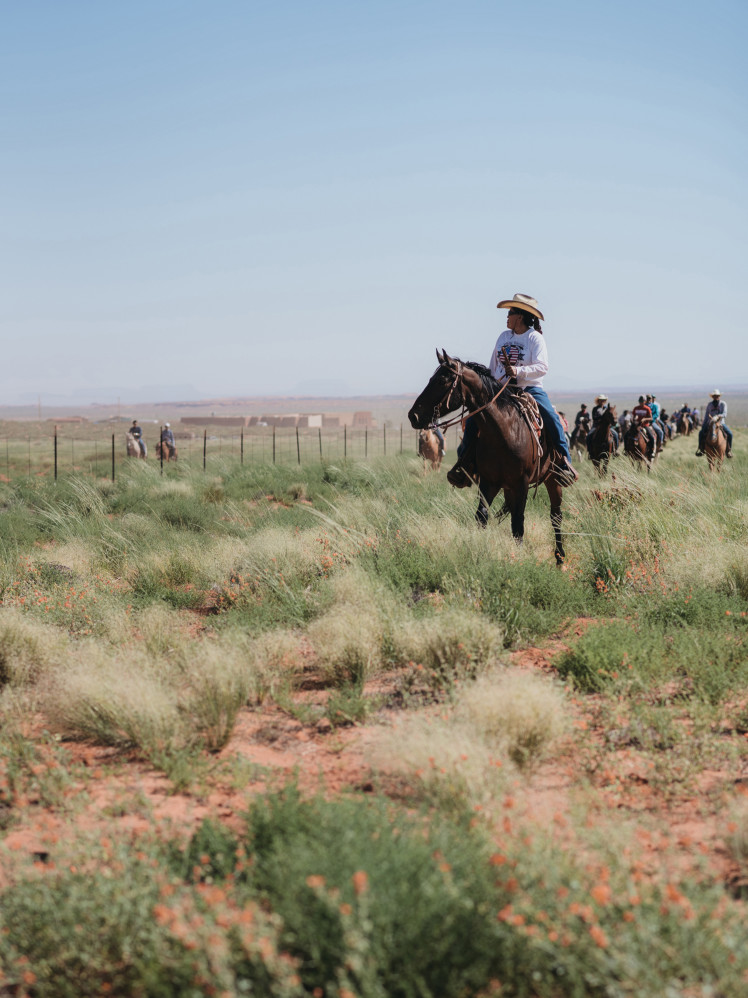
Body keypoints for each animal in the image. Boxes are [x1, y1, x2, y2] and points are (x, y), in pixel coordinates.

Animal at [410, 354, 568, 568]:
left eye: (442, 380)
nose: (413, 415)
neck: (504, 432)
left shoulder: (521, 483)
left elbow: (518, 523)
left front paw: (519, 559)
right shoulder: (488, 482)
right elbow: (482, 516)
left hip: (553, 478)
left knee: (556, 515)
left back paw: (560, 558)